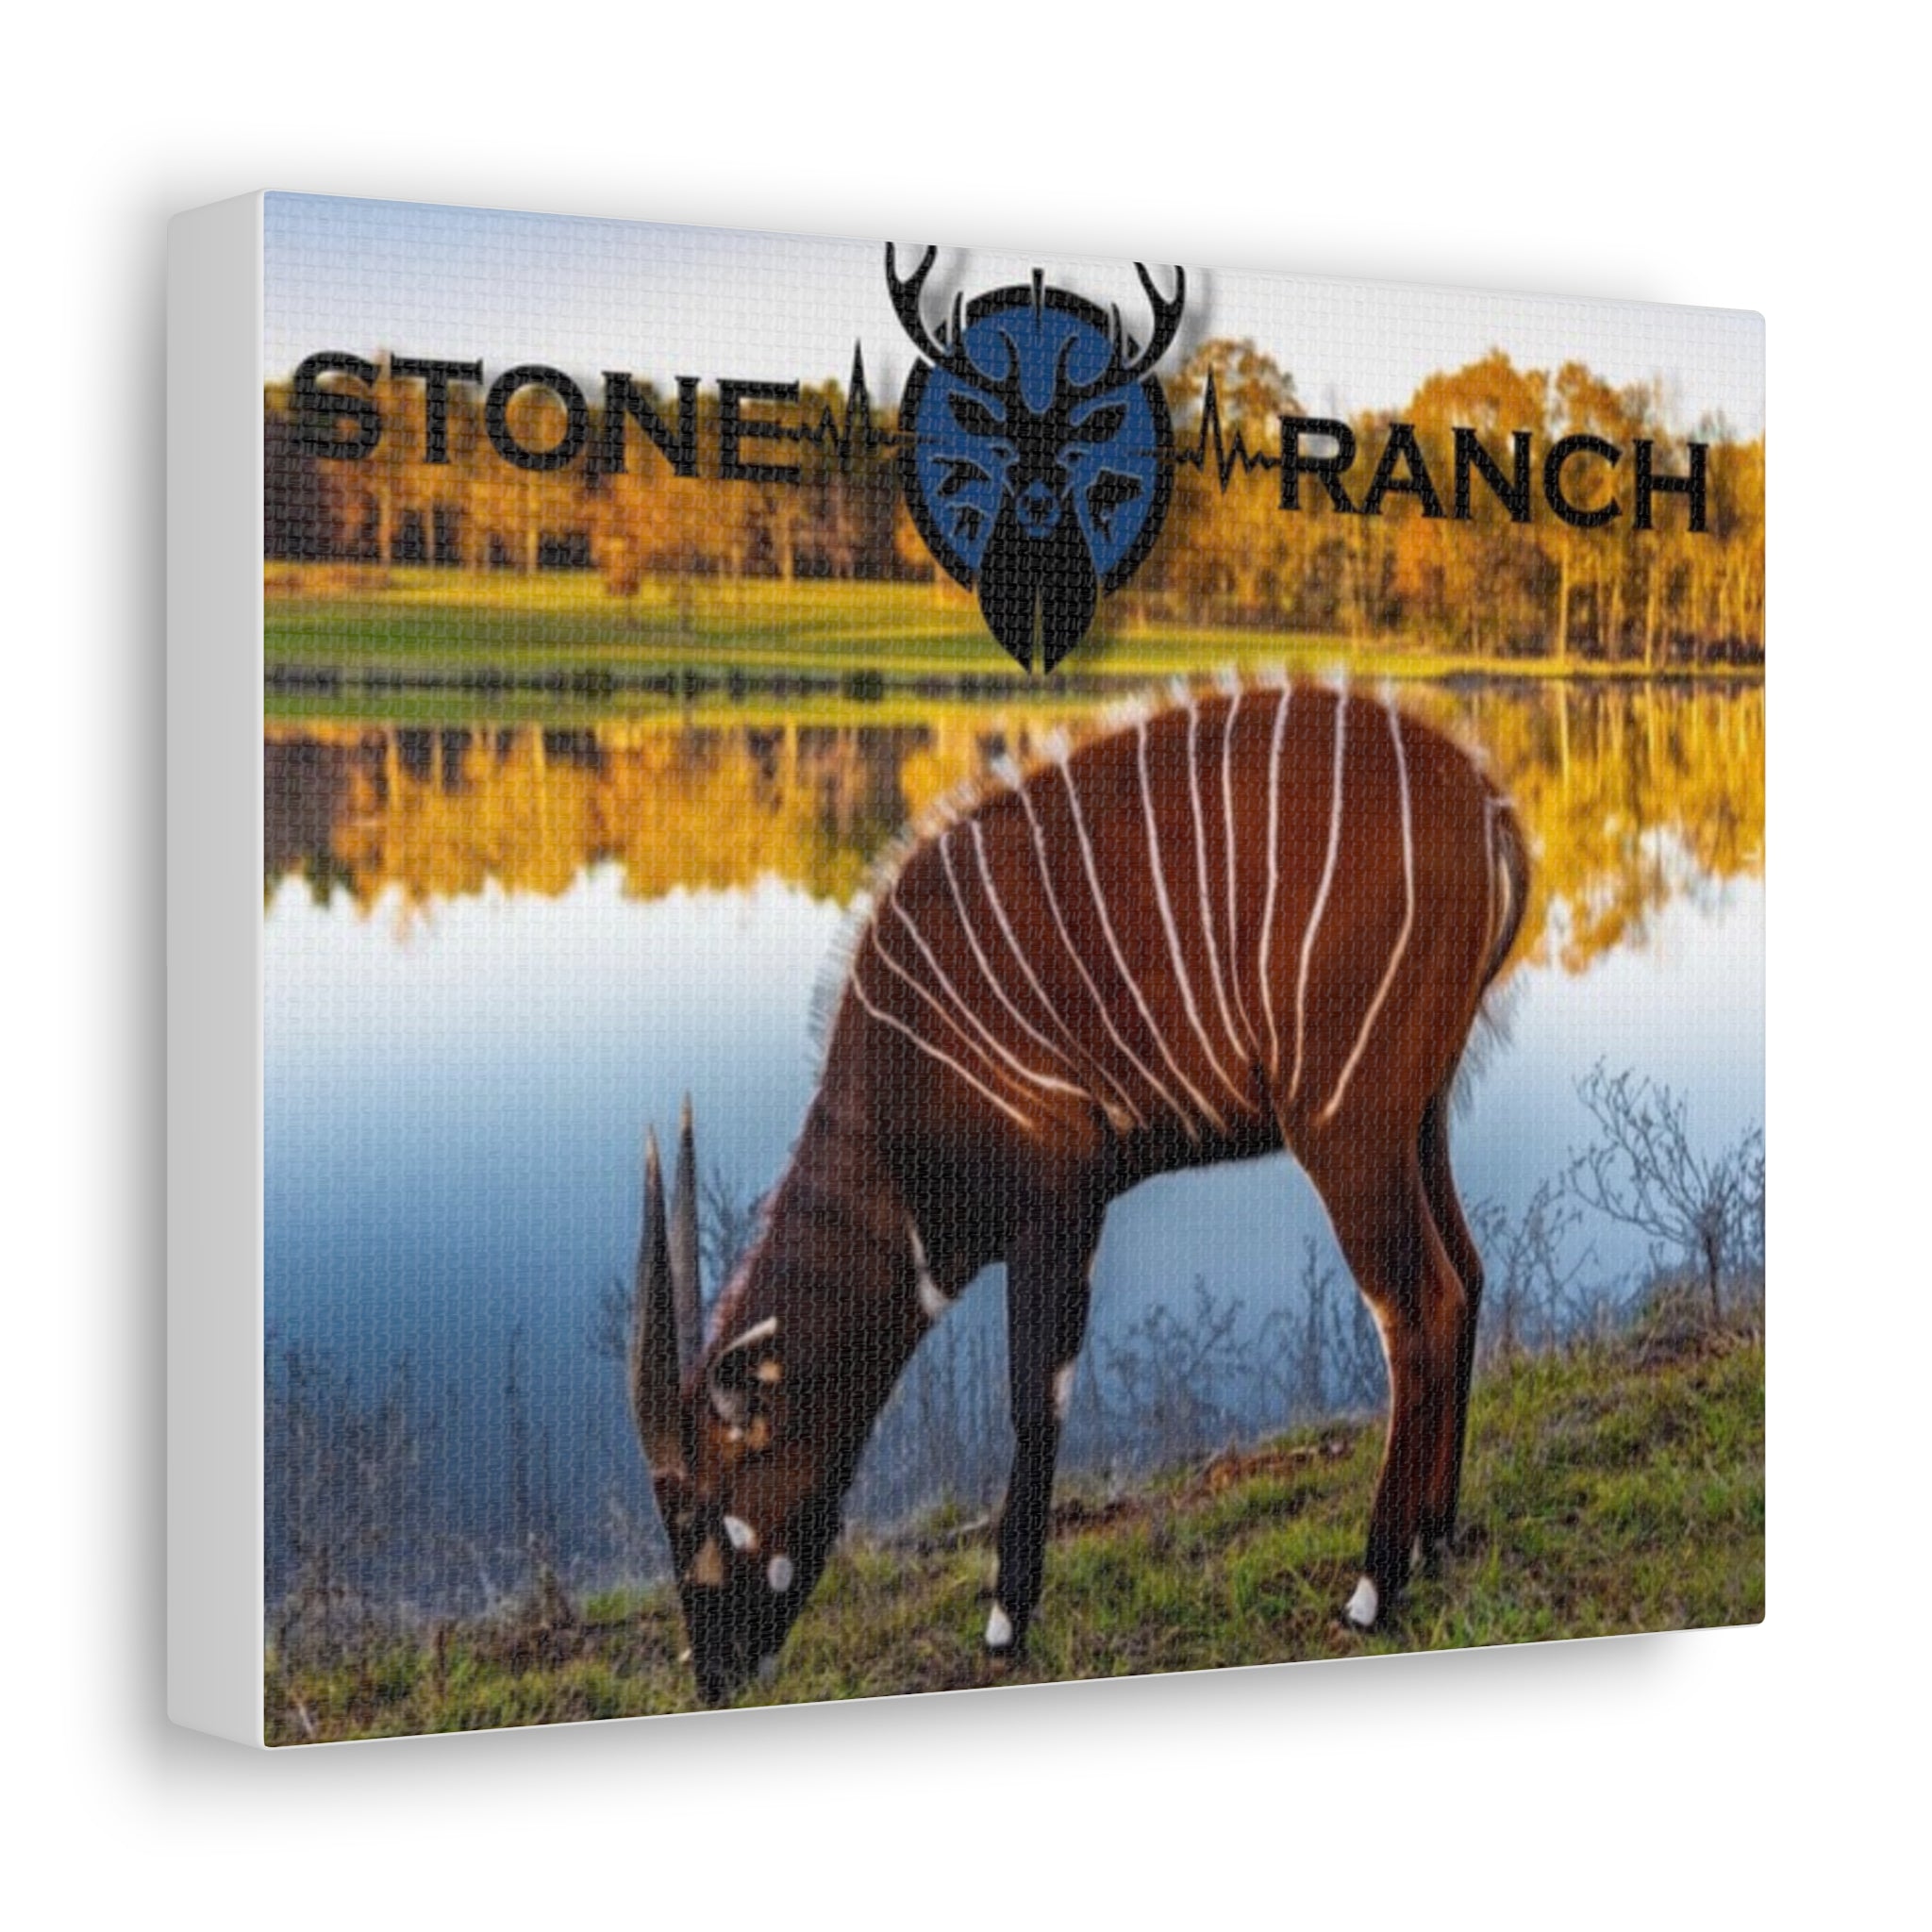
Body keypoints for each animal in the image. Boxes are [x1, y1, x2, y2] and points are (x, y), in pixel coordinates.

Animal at [631, 682, 1530, 1704]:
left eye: (696, 1513)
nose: (714, 1676)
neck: (900, 1098)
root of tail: (1488, 808)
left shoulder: (1054, 1210)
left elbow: (1035, 1400)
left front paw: (1003, 1623)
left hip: (1348, 1131)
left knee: (1417, 1310)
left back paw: (1373, 1586)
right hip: (1420, 1120)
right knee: (1466, 1277)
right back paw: (1435, 1537)